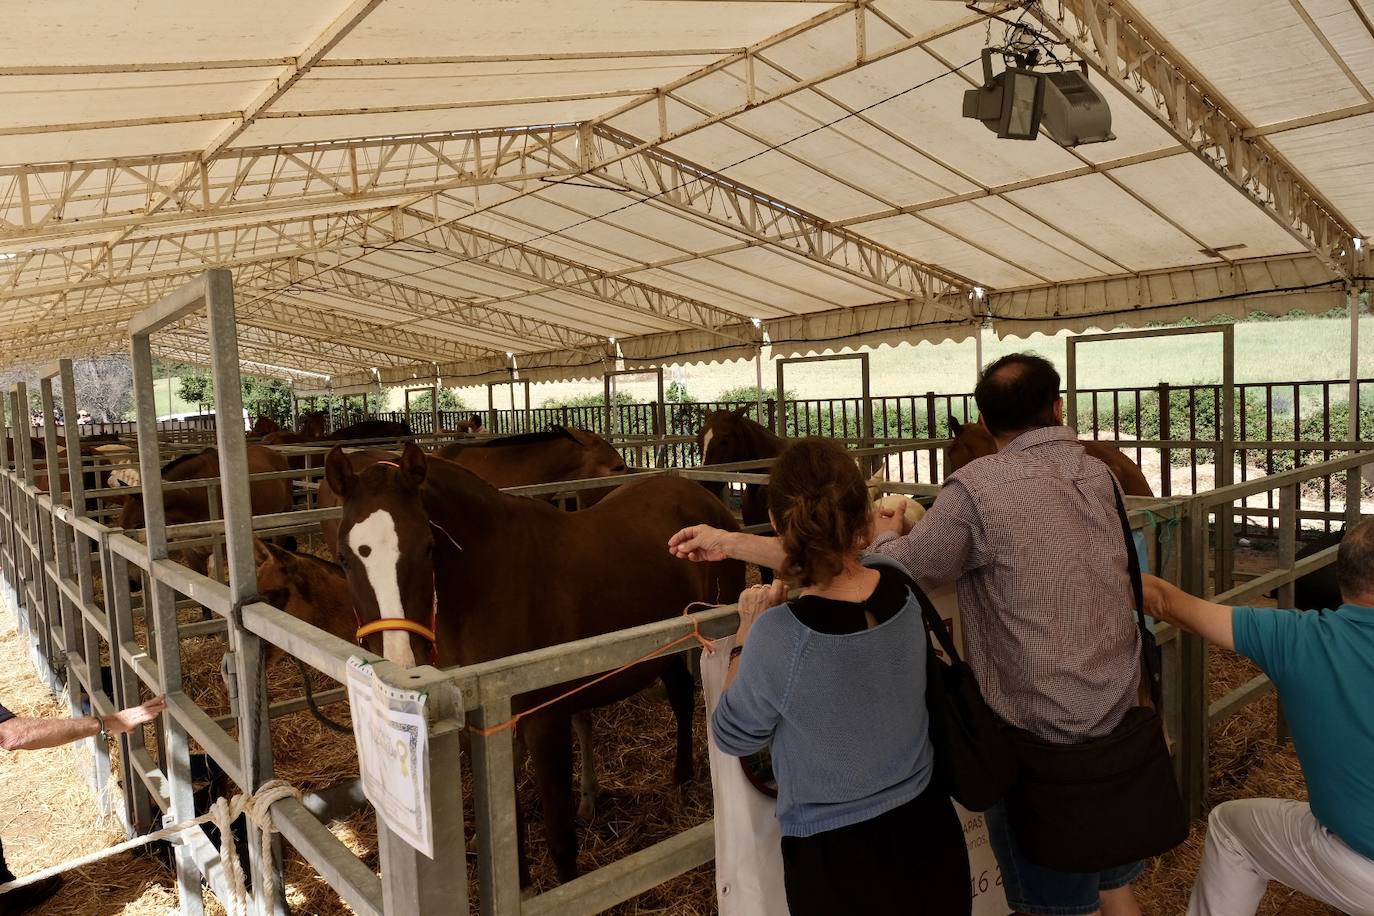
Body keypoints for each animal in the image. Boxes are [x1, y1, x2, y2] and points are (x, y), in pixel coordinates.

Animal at [324, 444, 741, 878]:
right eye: (344, 557)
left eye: (427, 547)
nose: (402, 660)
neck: (494, 581)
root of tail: (709, 503)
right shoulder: (486, 727)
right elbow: (508, 823)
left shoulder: (545, 720)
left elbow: (560, 838)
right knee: (681, 694)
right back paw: (681, 775)